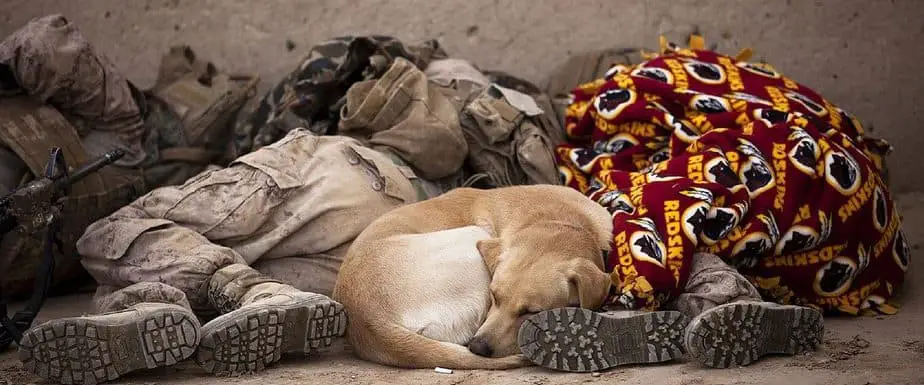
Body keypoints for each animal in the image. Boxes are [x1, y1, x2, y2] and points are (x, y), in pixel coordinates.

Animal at [328, 184, 616, 368]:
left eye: (531, 312)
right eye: (494, 296)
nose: (478, 348)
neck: (556, 220)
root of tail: (367, 317)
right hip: (473, 234)